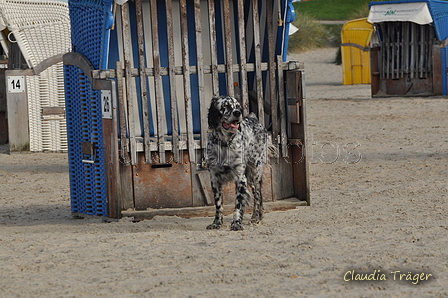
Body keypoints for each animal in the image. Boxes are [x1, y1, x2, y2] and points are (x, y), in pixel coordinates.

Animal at [206, 95, 272, 230]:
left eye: (238, 106)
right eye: (225, 106)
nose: (238, 113)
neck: (224, 144)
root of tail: (254, 118)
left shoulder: (240, 177)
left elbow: (238, 205)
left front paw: (236, 223)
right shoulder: (214, 178)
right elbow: (218, 205)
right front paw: (216, 223)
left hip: (255, 172)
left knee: (258, 195)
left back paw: (255, 218)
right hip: (250, 177)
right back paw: (258, 215)